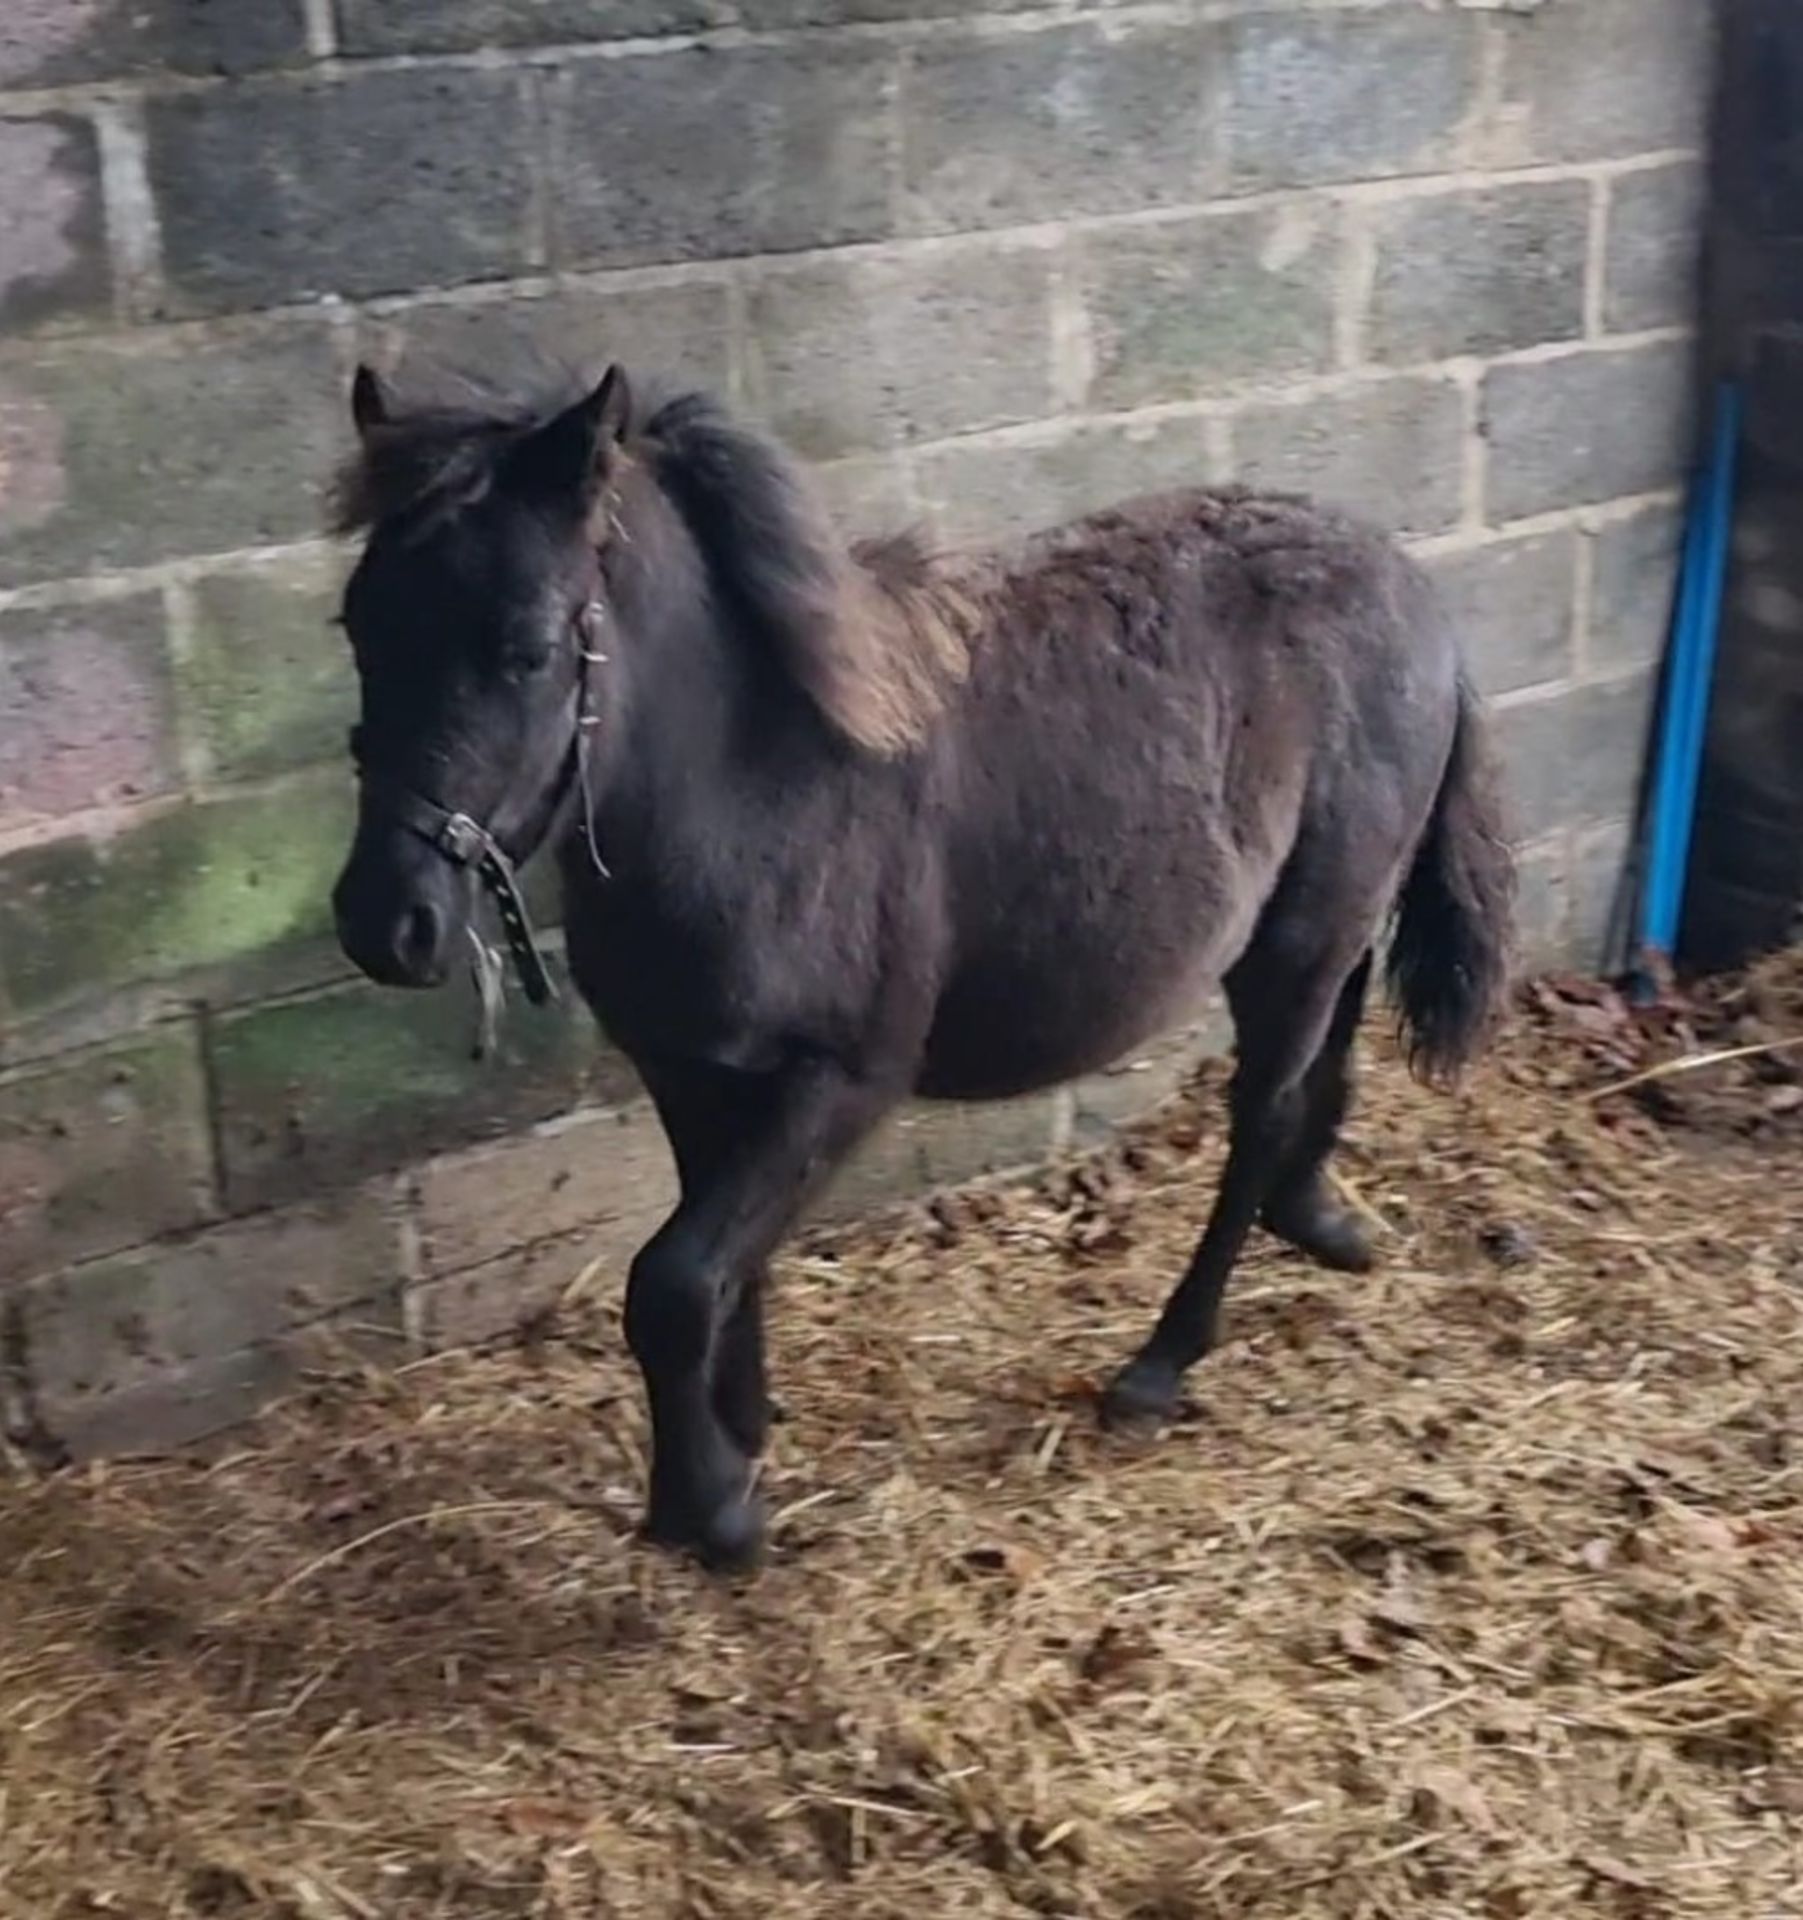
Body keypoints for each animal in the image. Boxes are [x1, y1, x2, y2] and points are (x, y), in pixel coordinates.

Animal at [332, 366, 1513, 1566]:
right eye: (357, 628)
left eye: (526, 647)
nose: (386, 923)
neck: (753, 791)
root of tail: (1413, 583)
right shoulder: (692, 1077)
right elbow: (724, 1268)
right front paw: (743, 1432)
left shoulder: (844, 1079)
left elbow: (674, 1280)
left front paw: (710, 1508)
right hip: (1329, 910)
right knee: (1338, 1036)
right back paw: (1315, 1217)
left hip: (1296, 937)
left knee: (1261, 1114)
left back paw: (1159, 1365)